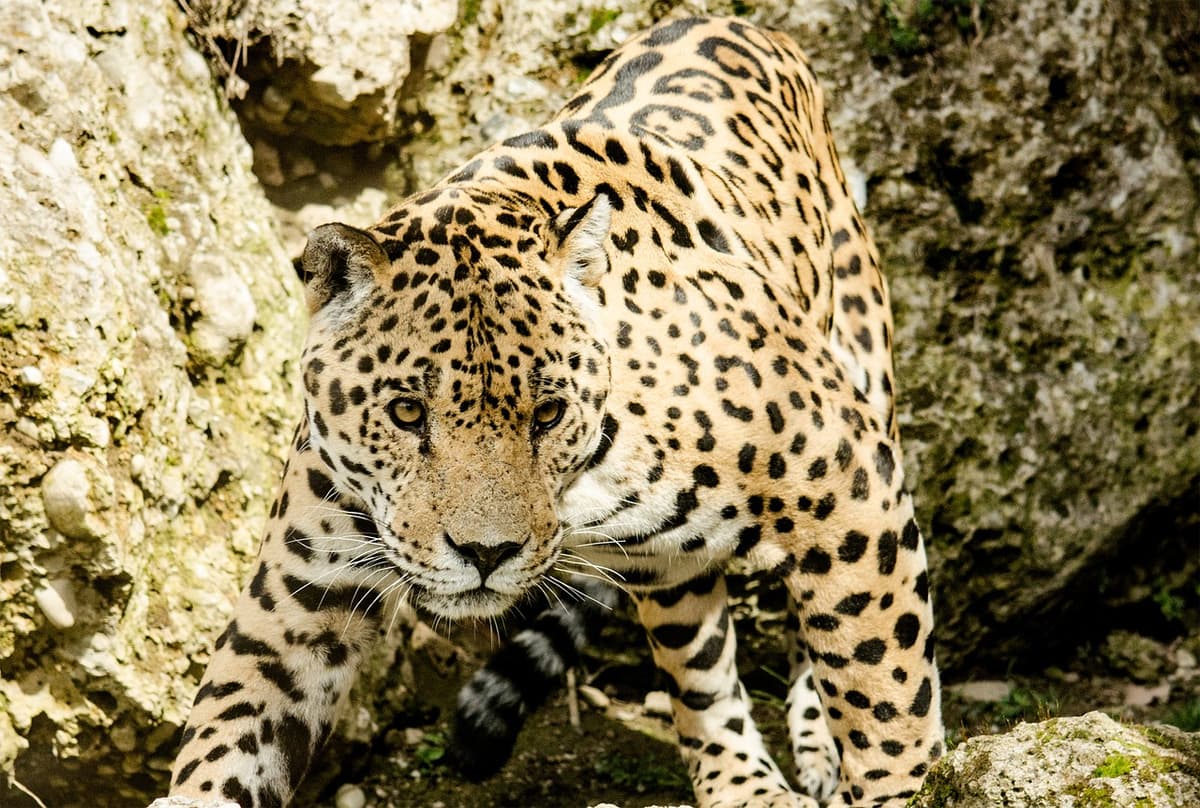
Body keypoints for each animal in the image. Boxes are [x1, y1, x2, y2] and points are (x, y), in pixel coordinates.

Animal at [166, 15, 943, 808]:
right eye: (407, 412)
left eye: (546, 413)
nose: (485, 555)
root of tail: (740, 21)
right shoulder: (295, 607)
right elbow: (227, 739)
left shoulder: (852, 486)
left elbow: (885, 691)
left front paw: (905, 786)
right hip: (666, 563)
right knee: (700, 669)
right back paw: (742, 786)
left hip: (866, 366)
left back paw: (816, 747)